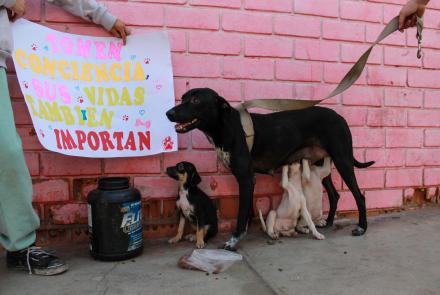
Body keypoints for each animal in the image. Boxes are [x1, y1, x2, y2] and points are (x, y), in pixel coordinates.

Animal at [166, 88, 374, 252]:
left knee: (359, 196)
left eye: (196, 100)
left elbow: (241, 214)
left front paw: (233, 241)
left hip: (343, 160)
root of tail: (340, 118)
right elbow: (247, 212)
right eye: (183, 97)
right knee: (334, 194)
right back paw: (328, 222)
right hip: (321, 164)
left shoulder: (246, 179)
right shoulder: (248, 179)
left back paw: (362, 227)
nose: (168, 113)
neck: (227, 127)